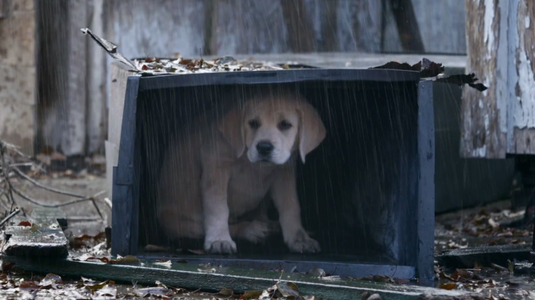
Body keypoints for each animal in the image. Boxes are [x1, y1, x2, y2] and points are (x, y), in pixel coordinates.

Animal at [158, 90, 326, 254]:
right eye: (253, 123)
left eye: (285, 124)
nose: (264, 147)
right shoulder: (216, 169)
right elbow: (218, 208)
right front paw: (220, 240)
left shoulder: (284, 172)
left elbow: (291, 206)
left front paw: (299, 238)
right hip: (179, 223)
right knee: (208, 227)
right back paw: (251, 229)